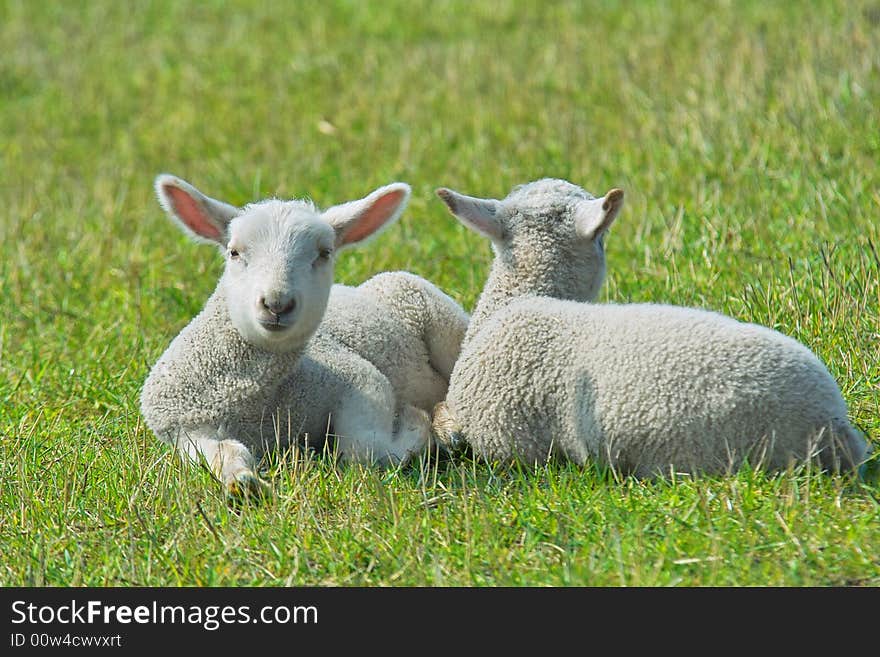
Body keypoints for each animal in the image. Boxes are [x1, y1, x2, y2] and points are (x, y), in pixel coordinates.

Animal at [139, 174, 468, 498]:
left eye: (324, 254)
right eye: (234, 252)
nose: (277, 303)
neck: (246, 401)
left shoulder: (361, 380)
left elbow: (363, 448)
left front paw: (416, 424)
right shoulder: (185, 428)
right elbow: (225, 453)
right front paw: (242, 482)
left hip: (445, 322)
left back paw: (447, 425)